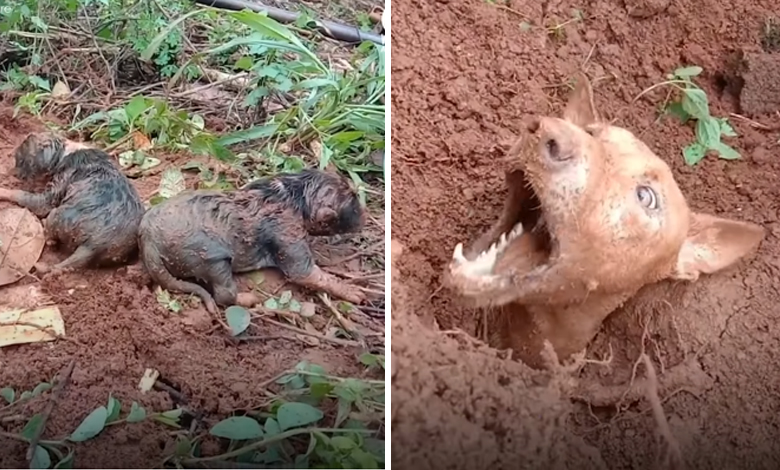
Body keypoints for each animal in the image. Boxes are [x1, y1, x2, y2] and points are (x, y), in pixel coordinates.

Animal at [0, 131, 145, 272]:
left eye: (20, 160)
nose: (13, 174)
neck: (66, 151)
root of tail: (93, 246)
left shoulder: (51, 193)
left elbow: (23, 195)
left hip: (56, 216)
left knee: (50, 238)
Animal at [138, 167, 368, 314]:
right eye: (354, 205)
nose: (365, 219)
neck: (295, 195)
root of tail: (147, 239)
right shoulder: (287, 231)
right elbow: (305, 273)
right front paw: (353, 291)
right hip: (208, 258)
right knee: (224, 294)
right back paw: (250, 299)